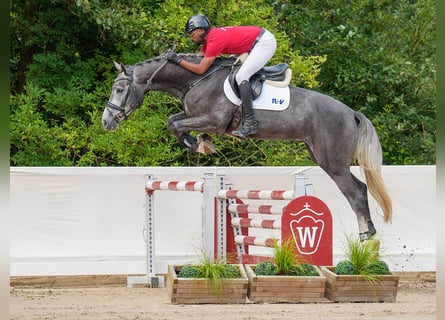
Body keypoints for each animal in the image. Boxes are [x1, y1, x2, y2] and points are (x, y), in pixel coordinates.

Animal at [102, 54, 390, 240]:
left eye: (120, 90)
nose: (106, 122)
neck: (196, 79)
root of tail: (351, 112)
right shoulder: (200, 118)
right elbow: (174, 120)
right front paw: (201, 143)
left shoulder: (213, 120)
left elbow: (173, 123)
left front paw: (197, 144)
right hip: (322, 156)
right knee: (360, 188)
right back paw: (368, 231)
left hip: (334, 163)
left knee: (355, 192)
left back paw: (366, 233)